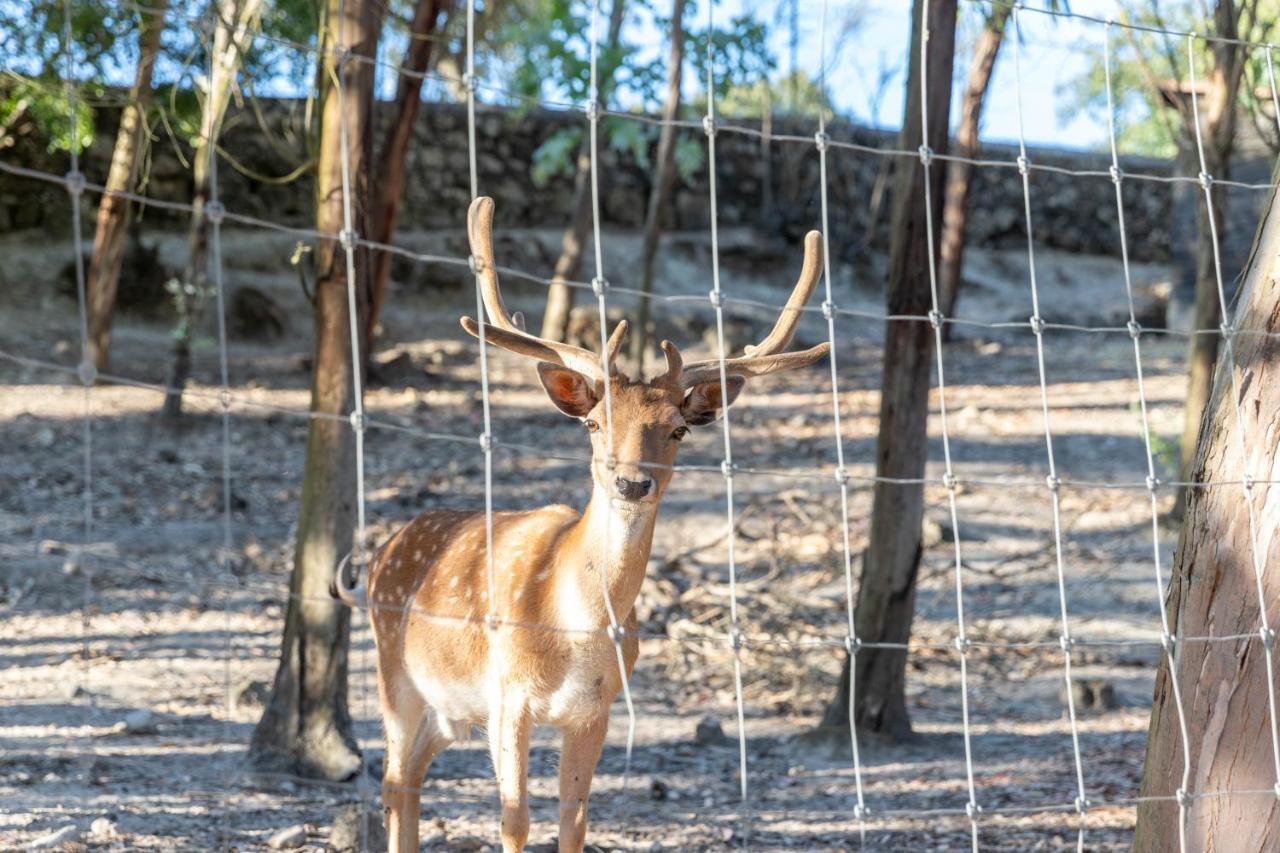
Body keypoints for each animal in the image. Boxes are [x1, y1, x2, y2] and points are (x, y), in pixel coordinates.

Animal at [332, 195, 829, 845]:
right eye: (594, 423)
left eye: (679, 429)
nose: (632, 482)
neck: (573, 630)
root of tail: (380, 555)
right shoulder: (509, 695)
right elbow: (514, 819)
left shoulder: (597, 708)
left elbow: (575, 821)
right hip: (397, 676)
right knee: (392, 779)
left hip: (449, 709)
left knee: (410, 775)